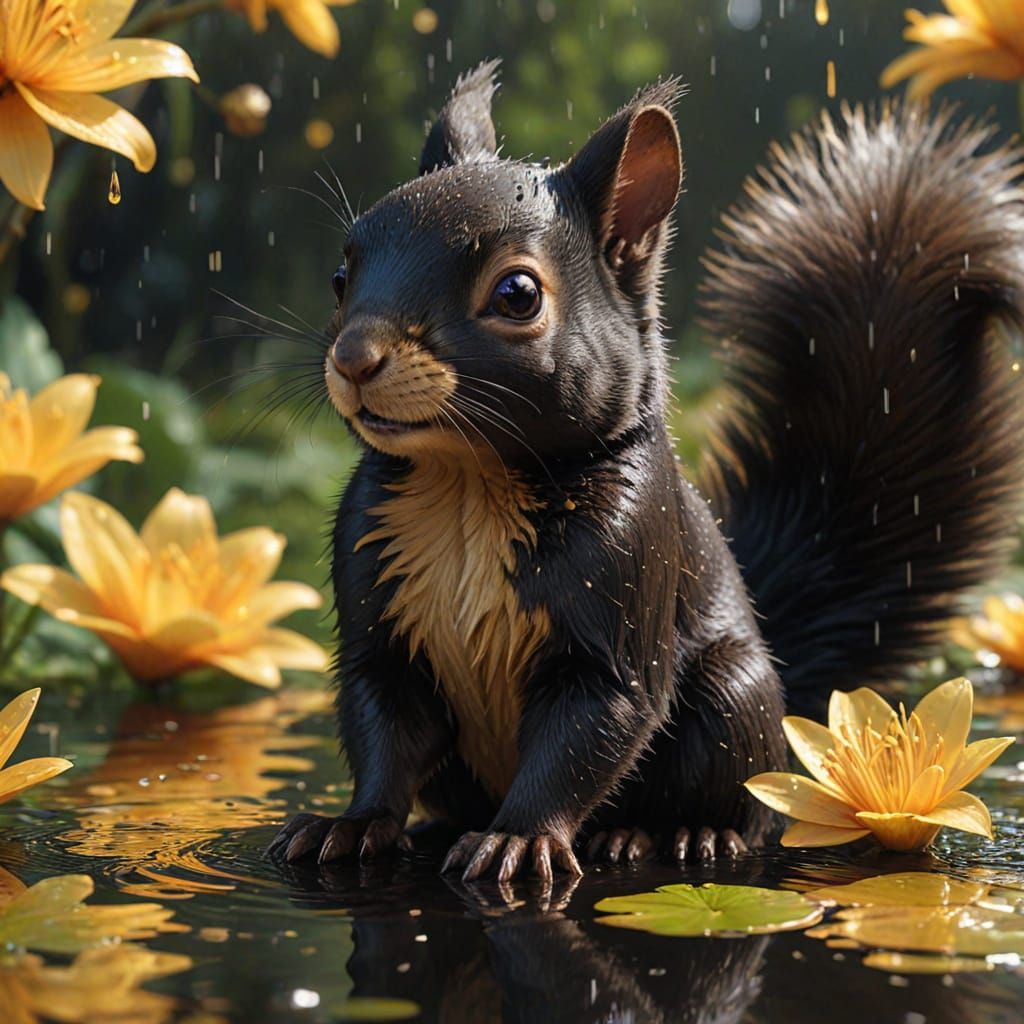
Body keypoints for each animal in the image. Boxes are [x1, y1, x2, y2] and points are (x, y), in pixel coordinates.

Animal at [269, 61, 1024, 882]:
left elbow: (587, 733)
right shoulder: (378, 613)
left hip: (731, 699)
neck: (468, 483)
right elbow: (383, 730)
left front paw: (520, 839)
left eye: (517, 294)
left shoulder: (624, 579)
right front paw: (352, 825)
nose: (353, 359)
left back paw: (678, 836)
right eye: (342, 274)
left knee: (741, 808)